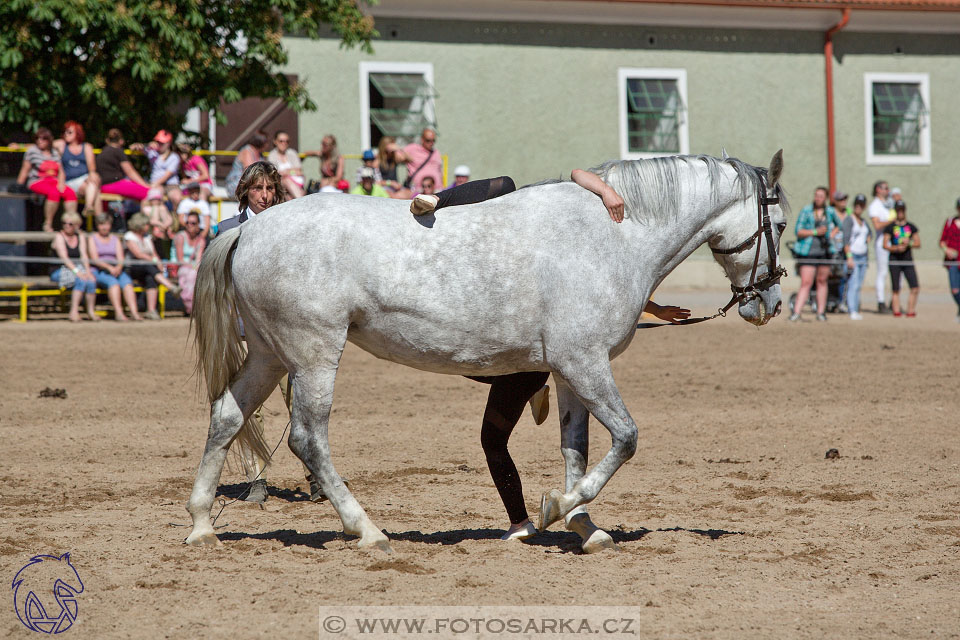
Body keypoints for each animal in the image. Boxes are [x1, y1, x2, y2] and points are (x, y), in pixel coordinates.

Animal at [186, 150, 788, 552]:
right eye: (780, 224)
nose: (771, 302)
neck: (616, 234)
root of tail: (251, 230)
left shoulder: (568, 372)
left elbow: (576, 449)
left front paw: (582, 524)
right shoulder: (585, 364)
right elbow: (626, 439)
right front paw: (555, 510)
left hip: (270, 356)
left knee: (226, 416)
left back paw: (201, 525)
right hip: (312, 358)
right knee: (308, 439)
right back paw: (367, 530)